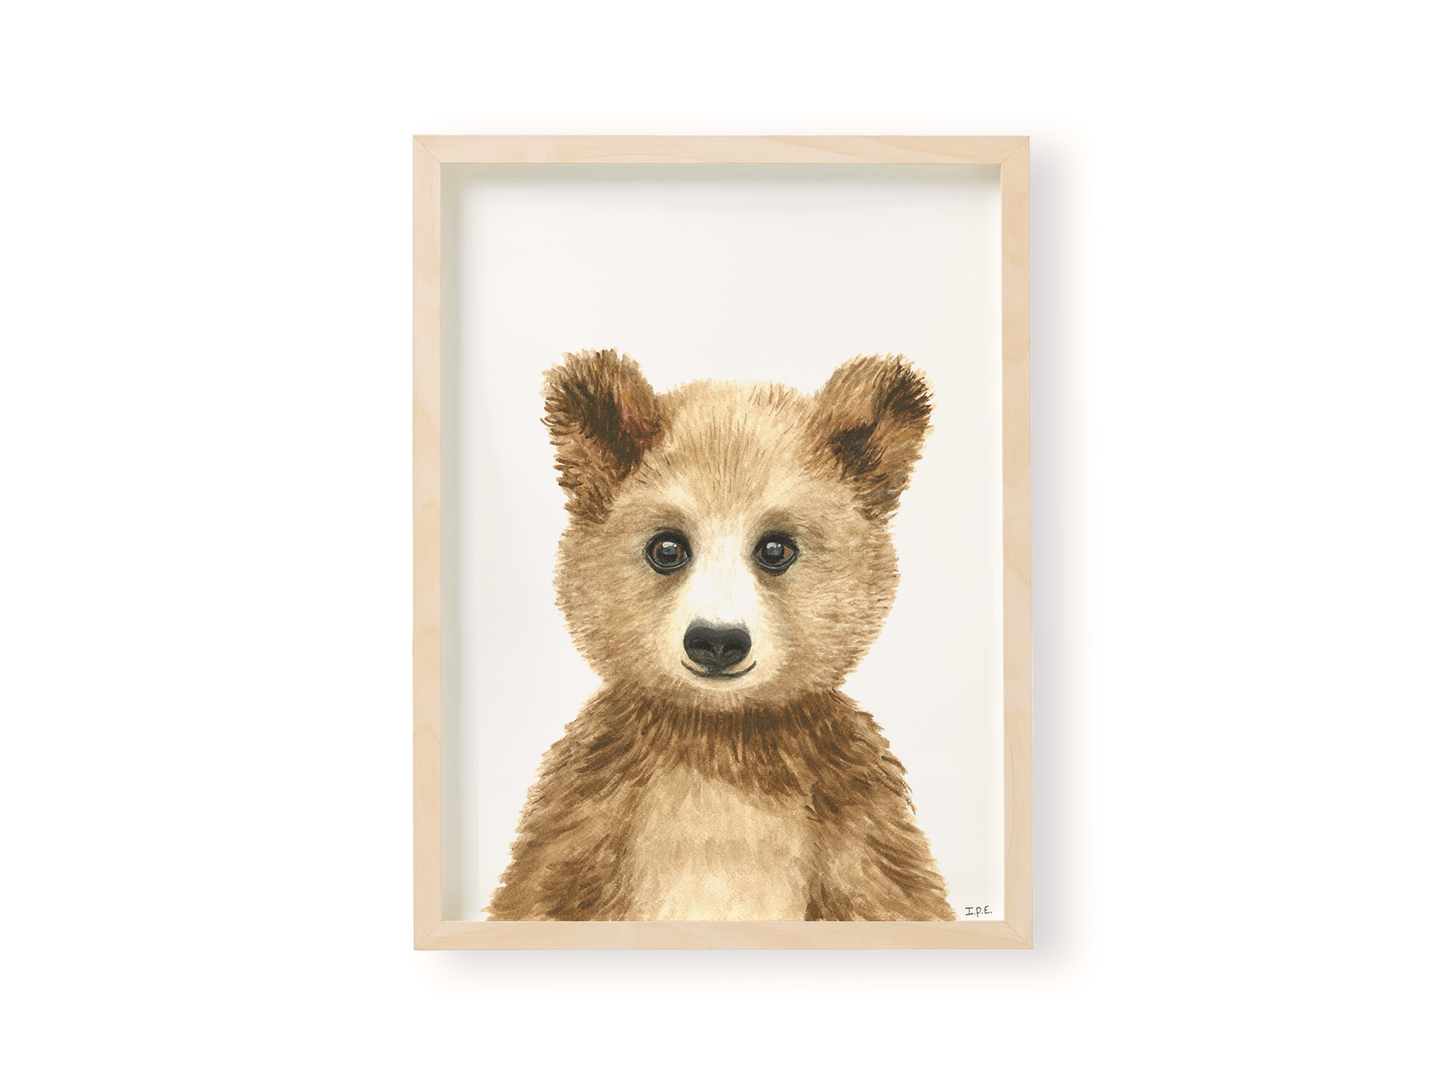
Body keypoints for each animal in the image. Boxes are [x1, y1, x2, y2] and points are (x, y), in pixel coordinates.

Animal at [487, 349, 955, 922]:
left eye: (775, 548)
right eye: (667, 548)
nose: (716, 642)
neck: (722, 738)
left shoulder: (857, 821)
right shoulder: (585, 815)